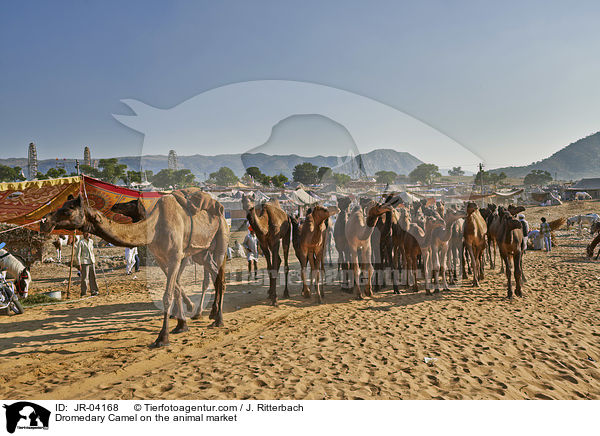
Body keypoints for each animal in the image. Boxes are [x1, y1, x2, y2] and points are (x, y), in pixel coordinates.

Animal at [39, 191, 227, 348]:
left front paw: (162, 338)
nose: (44, 222)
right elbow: (176, 288)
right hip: (200, 251)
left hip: (221, 240)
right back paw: (208, 313)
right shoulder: (161, 258)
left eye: (67, 210)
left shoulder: (175, 255)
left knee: (221, 277)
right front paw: (182, 325)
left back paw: (218, 320)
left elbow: (167, 295)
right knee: (212, 271)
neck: (155, 226)